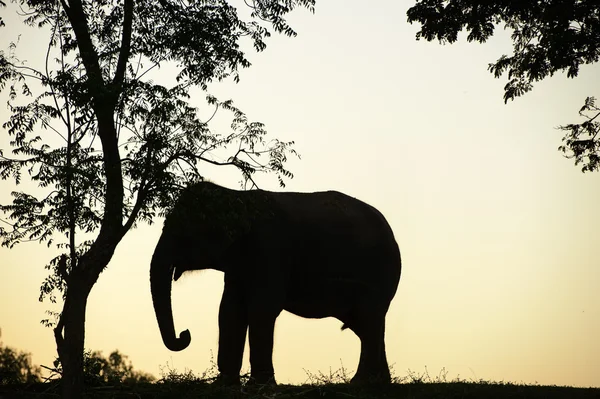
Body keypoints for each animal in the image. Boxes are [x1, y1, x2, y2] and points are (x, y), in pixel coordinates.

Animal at [150, 183, 404, 386]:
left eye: (184, 232)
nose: (185, 334)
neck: (235, 196)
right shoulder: (238, 265)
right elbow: (229, 310)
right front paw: (224, 385)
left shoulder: (270, 250)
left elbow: (262, 308)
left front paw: (259, 386)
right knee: (367, 324)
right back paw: (380, 382)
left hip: (379, 272)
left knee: (369, 319)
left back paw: (361, 382)